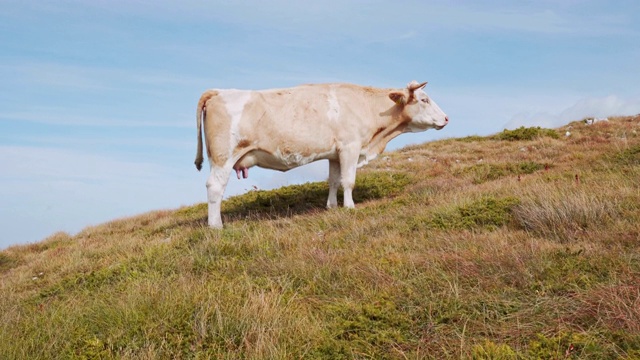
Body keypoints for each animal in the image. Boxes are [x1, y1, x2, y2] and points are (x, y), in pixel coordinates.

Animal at [192, 81, 448, 228]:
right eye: (424, 99)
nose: (446, 118)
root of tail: (218, 92)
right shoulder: (350, 146)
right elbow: (348, 181)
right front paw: (350, 207)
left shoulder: (334, 154)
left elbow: (334, 180)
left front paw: (332, 207)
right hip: (223, 157)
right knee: (215, 187)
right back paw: (216, 226)